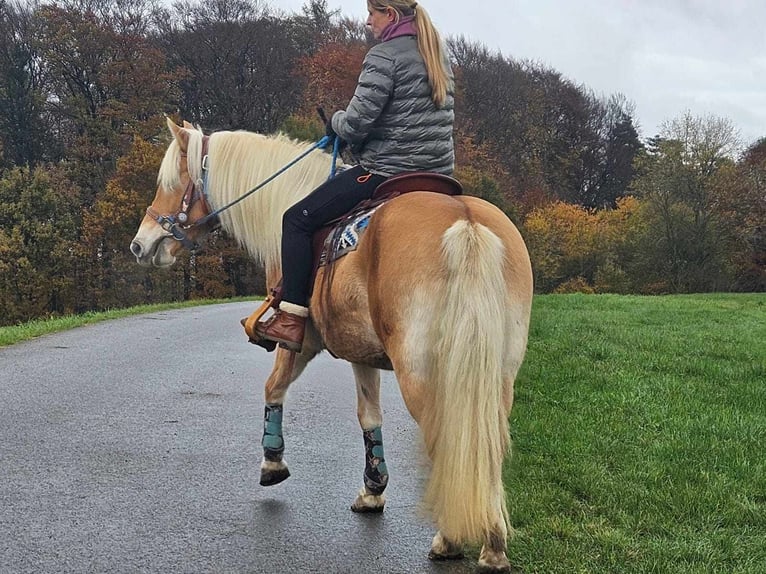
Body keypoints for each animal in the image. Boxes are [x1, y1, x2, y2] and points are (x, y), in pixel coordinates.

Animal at [130, 118, 536, 574]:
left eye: (170, 182)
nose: (140, 244)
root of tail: (464, 223)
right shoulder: (362, 352)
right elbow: (369, 416)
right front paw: (373, 489)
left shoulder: (301, 341)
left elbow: (274, 388)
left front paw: (273, 461)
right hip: (496, 378)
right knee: (486, 446)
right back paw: (493, 543)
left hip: (424, 377)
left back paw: (449, 539)